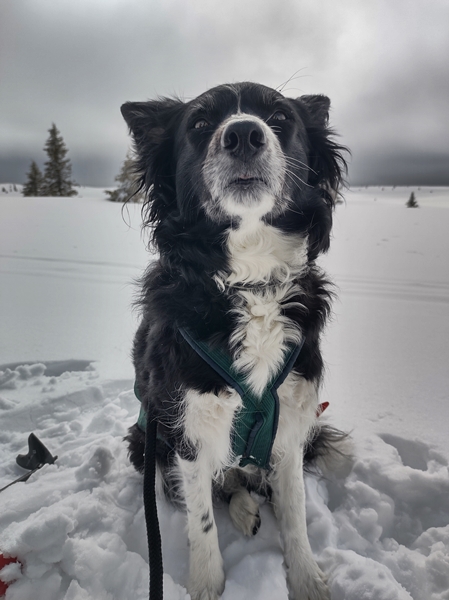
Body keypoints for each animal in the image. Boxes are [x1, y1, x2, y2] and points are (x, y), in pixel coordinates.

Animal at [121, 81, 346, 600]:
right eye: (201, 123)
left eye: (280, 118)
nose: (243, 134)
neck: (252, 280)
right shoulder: (185, 426)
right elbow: (201, 518)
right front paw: (207, 584)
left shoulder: (292, 422)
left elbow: (295, 512)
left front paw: (306, 577)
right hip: (146, 438)